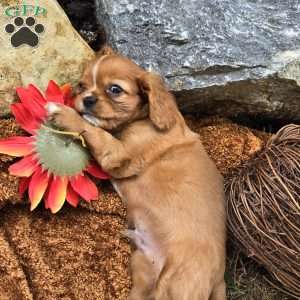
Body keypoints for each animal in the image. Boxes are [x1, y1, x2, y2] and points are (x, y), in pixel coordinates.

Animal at [47, 47, 225, 300]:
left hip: (173, 285)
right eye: (81, 86)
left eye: (115, 89)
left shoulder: (118, 153)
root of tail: (219, 279)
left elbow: (93, 130)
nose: (87, 99)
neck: (144, 119)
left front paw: (63, 113)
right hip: (144, 270)